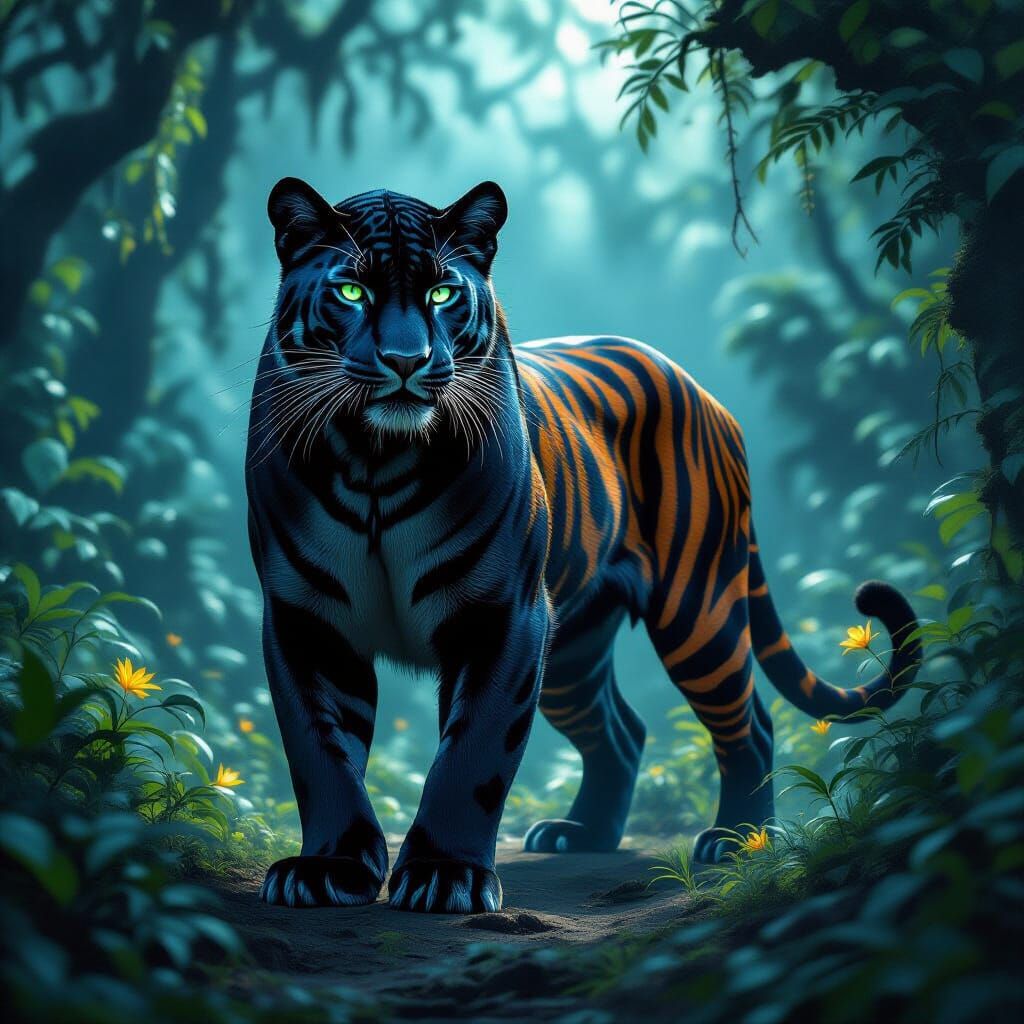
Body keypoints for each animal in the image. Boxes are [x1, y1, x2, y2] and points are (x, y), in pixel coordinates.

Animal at [246, 177, 920, 913]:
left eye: (442, 293)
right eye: (351, 291)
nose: (405, 361)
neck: (377, 460)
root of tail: (703, 390)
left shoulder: (504, 616)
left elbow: (474, 753)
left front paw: (445, 874)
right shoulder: (306, 620)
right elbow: (320, 752)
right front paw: (328, 868)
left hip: (697, 611)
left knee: (750, 723)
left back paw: (738, 840)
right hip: (572, 649)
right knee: (622, 733)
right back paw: (584, 833)